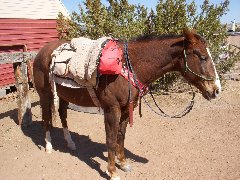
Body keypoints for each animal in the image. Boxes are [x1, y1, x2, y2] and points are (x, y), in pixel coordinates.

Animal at [32, 28, 221, 179]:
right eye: (203, 57)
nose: (216, 90)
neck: (128, 66)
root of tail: (42, 52)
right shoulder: (112, 110)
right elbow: (110, 139)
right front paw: (112, 172)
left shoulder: (125, 109)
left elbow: (121, 137)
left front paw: (123, 164)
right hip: (45, 95)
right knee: (46, 118)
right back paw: (48, 146)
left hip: (64, 96)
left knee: (62, 115)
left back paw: (70, 143)